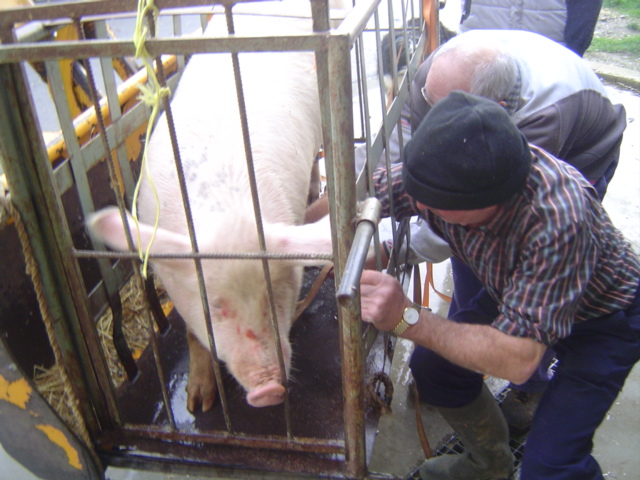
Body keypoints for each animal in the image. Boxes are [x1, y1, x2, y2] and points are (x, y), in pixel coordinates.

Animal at [87, 1, 339, 411]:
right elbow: (192, 335)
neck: (228, 208)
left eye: (278, 295)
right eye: (214, 307)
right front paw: (198, 404)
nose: (268, 390)